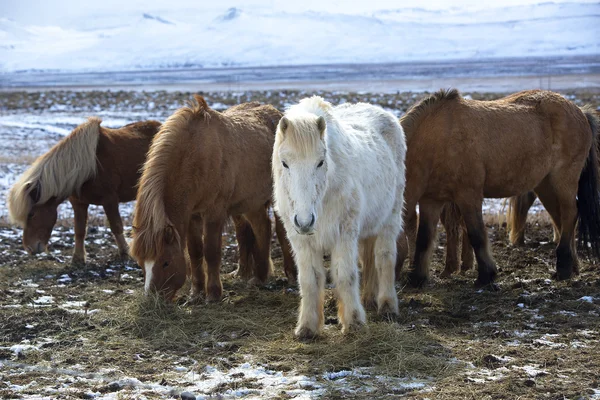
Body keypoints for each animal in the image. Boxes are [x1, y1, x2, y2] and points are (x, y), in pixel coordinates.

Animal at [8, 117, 162, 264]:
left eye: (31, 214)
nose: (29, 248)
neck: (88, 168)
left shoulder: (110, 200)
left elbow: (116, 226)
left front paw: (125, 253)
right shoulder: (79, 203)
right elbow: (79, 230)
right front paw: (78, 258)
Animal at [130, 97, 294, 302]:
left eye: (165, 262)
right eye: (141, 263)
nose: (152, 300)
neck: (195, 156)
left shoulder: (214, 213)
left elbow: (211, 251)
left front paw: (213, 294)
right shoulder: (192, 215)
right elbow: (195, 252)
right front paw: (196, 292)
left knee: (281, 231)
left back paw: (291, 274)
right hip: (251, 202)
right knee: (262, 228)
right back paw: (259, 277)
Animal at [274, 96, 406, 338]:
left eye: (320, 161)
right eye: (284, 163)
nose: (305, 221)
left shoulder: (344, 234)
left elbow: (345, 275)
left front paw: (354, 322)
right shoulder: (301, 241)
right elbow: (309, 279)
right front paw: (307, 327)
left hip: (390, 219)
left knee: (384, 258)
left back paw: (387, 306)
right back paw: (369, 300)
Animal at [396, 89, 600, 286]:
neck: (435, 139)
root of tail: (580, 111)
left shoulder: (468, 195)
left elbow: (476, 234)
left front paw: (486, 275)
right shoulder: (430, 200)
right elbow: (424, 238)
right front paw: (417, 278)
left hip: (563, 181)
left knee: (569, 215)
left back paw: (564, 268)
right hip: (545, 185)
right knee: (560, 219)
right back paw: (571, 267)